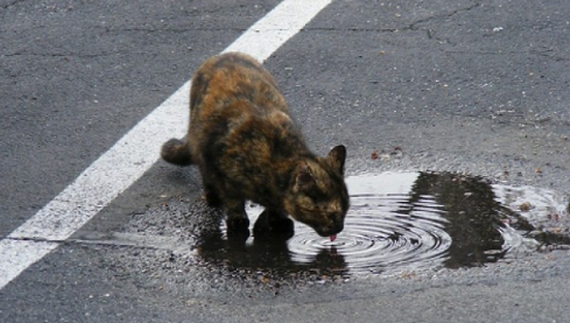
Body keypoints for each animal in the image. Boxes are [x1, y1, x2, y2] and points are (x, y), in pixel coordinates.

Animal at [159, 52, 346, 240]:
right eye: (331, 214)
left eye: (346, 210)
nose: (340, 228)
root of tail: (224, 54)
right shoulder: (223, 172)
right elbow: (233, 200)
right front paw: (238, 220)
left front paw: (278, 219)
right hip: (200, 143)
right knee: (204, 171)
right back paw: (213, 197)